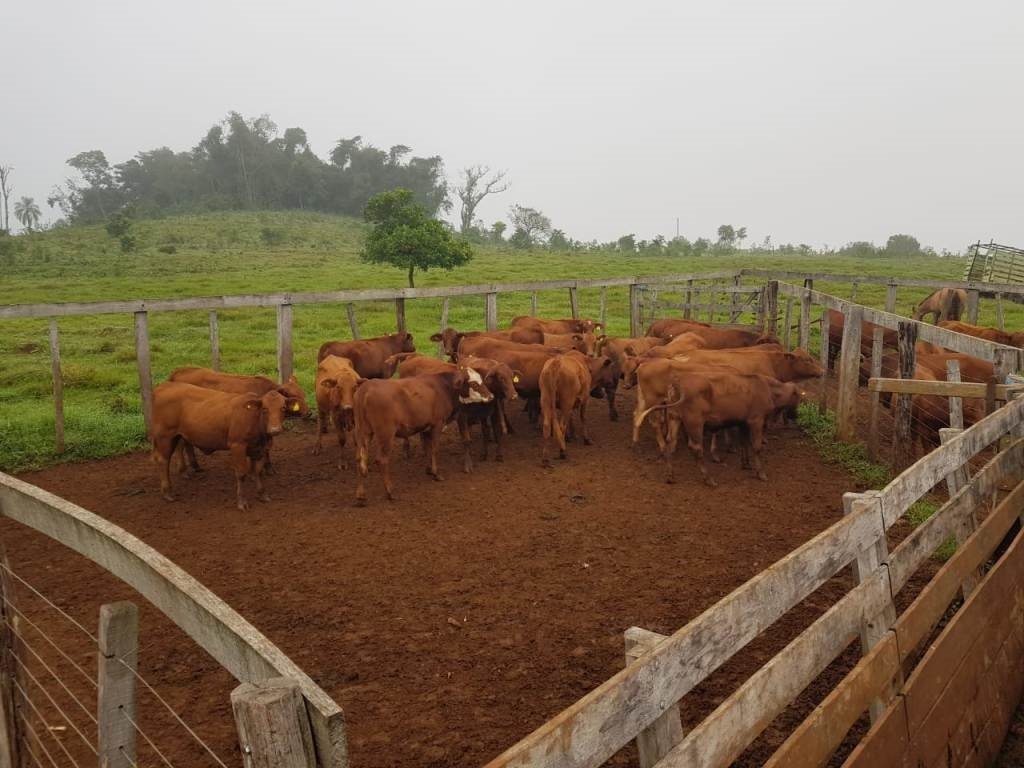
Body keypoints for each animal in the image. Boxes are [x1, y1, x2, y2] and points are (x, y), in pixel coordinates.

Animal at [354, 368, 493, 505]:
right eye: (473, 383)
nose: (491, 396)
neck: (443, 387)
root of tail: (367, 388)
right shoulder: (437, 424)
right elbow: (434, 449)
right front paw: (436, 474)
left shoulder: (426, 428)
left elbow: (427, 449)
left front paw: (429, 469)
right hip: (385, 435)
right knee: (381, 460)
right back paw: (390, 492)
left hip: (363, 433)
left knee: (361, 460)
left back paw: (361, 496)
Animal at [630, 372, 798, 487]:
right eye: (798, 397)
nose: (795, 416)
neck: (766, 388)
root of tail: (679, 382)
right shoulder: (756, 420)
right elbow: (756, 446)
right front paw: (761, 473)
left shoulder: (743, 423)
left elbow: (744, 443)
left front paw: (746, 464)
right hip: (695, 422)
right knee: (696, 447)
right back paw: (708, 479)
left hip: (675, 418)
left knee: (670, 444)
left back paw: (670, 476)